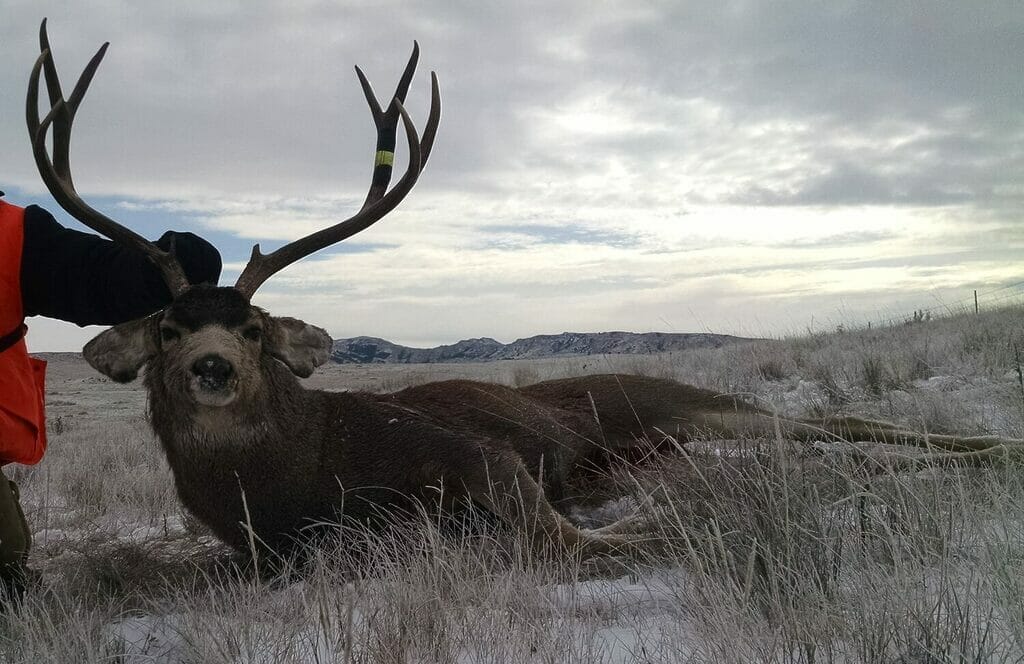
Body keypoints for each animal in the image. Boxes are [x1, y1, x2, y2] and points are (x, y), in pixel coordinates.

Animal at [27, 22, 1020, 564]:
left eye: (258, 329)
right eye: (166, 328)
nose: (211, 367)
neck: (297, 480)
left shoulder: (482, 456)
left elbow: (562, 537)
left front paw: (666, 528)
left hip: (696, 403)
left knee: (841, 423)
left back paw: (988, 449)